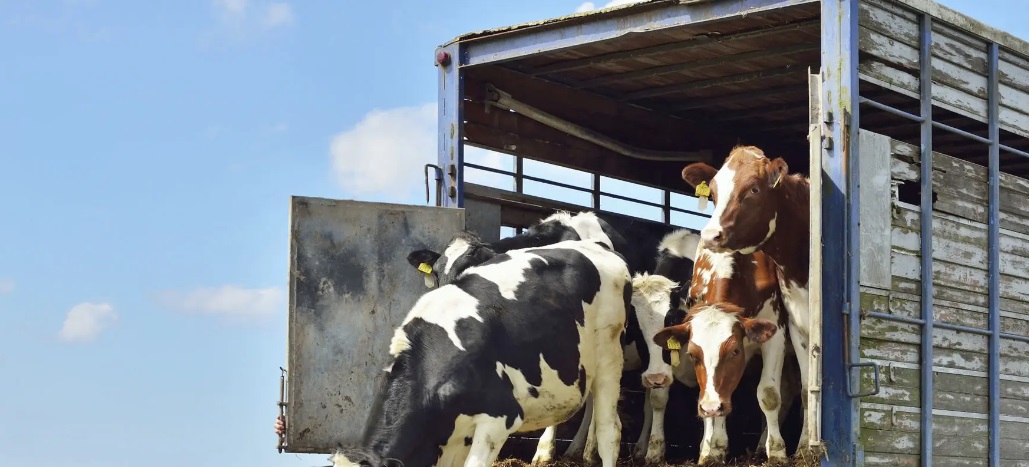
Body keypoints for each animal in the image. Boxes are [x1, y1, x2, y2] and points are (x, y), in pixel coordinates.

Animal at [679, 145, 814, 452]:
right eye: (713, 192)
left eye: (753, 189)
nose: (711, 235)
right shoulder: (797, 325)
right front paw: (711, 447)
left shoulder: (777, 327)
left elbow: (769, 393)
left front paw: (781, 452)